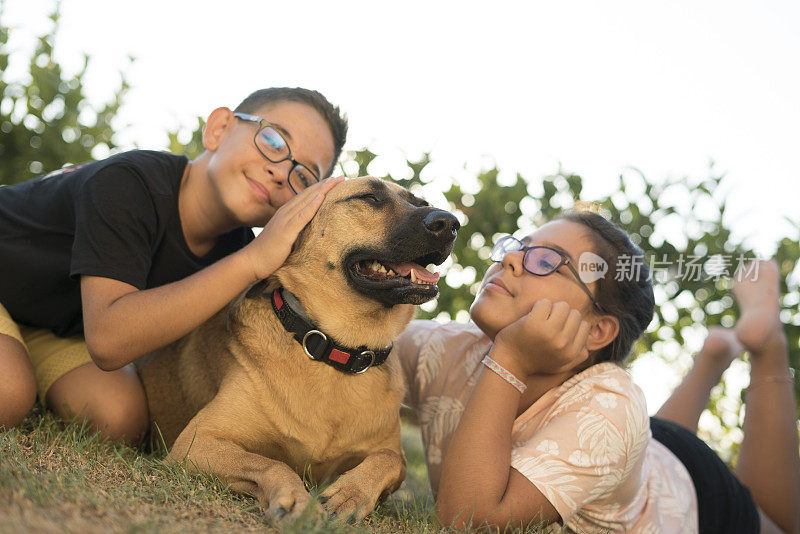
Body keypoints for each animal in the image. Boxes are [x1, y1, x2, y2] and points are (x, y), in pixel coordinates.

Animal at [137, 178, 460, 520]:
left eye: (420, 202)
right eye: (370, 197)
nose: (451, 224)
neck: (335, 351)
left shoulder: (389, 452)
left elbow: (388, 459)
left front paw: (350, 493)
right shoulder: (197, 441)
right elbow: (271, 463)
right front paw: (296, 499)